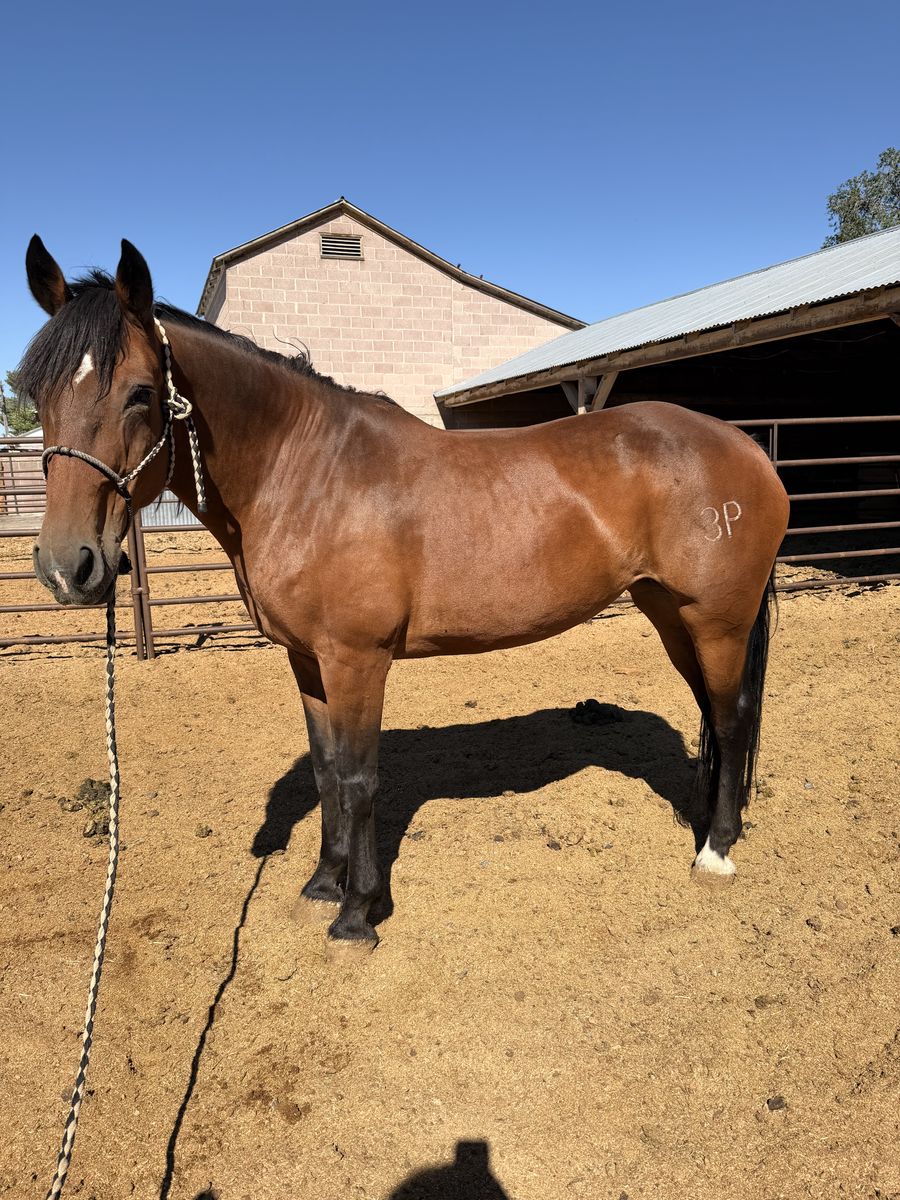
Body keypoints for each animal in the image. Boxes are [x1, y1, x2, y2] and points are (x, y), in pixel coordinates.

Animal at [21, 236, 790, 954]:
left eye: (140, 393)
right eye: (39, 394)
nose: (68, 567)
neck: (307, 473)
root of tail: (746, 447)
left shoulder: (357, 659)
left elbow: (360, 778)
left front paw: (358, 913)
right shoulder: (309, 661)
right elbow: (328, 771)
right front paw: (323, 883)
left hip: (716, 621)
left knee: (731, 718)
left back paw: (716, 850)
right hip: (669, 614)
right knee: (712, 714)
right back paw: (703, 822)